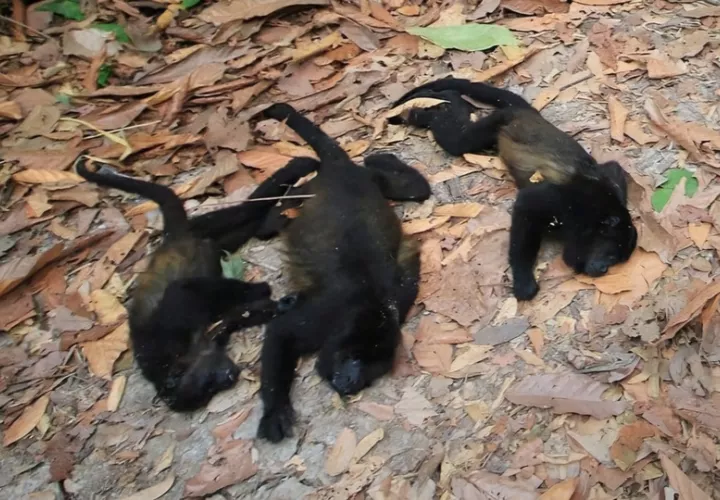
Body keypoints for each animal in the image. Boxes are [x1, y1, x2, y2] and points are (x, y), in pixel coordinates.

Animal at [75, 156, 318, 411]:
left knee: (244, 210)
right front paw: (279, 306)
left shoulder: (169, 327)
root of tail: (170, 238)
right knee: (247, 225)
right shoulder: (210, 340)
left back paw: (298, 170)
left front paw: (262, 289)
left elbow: (182, 290)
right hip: (212, 238)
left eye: (207, 383)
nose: (229, 378)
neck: (177, 359)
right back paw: (278, 215)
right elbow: (234, 318)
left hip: (200, 227)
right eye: (208, 392)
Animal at [389, 77, 638, 301]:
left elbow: (613, 168)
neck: (595, 214)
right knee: (458, 140)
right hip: (499, 121)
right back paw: (432, 108)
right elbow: (527, 206)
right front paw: (524, 281)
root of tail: (529, 113)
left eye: (617, 260)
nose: (604, 269)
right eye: (612, 255)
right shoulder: (564, 201)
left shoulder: (607, 183)